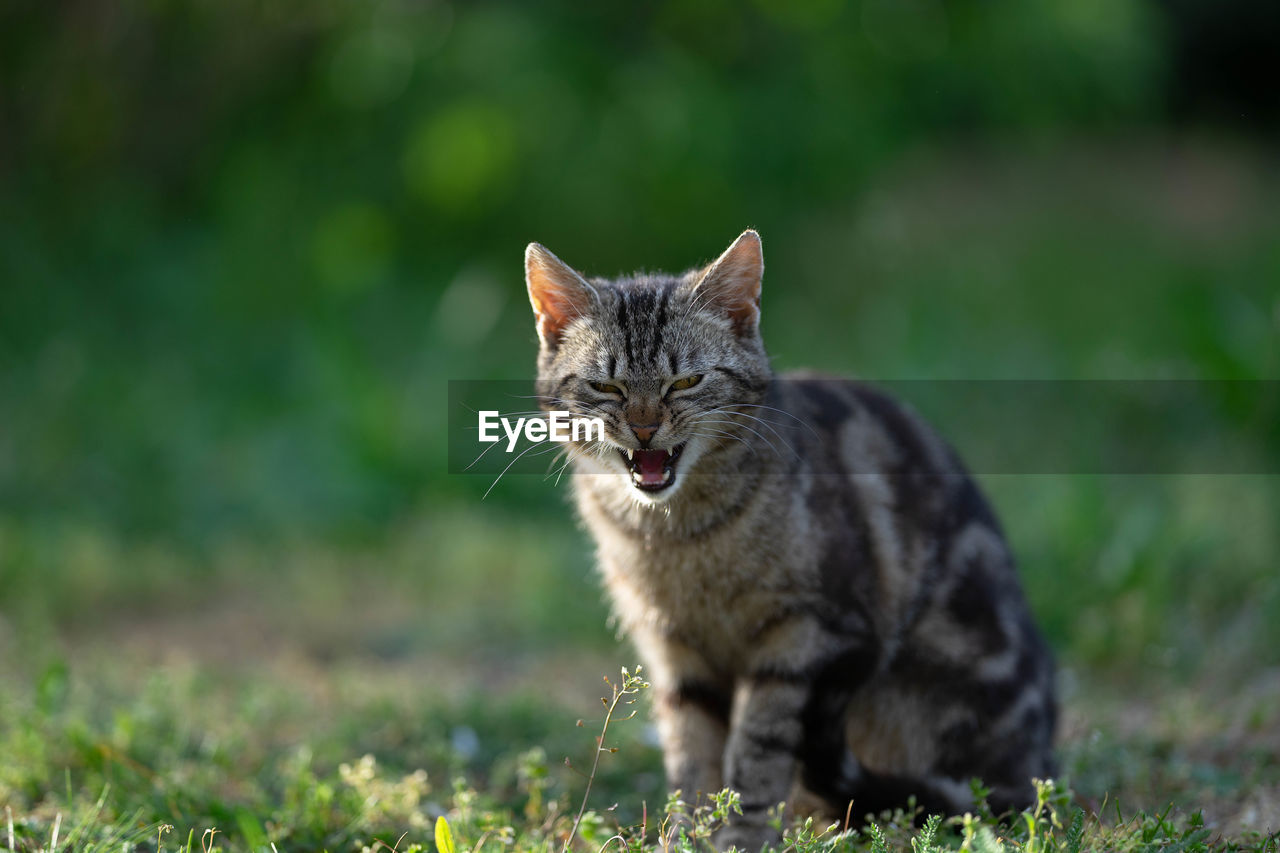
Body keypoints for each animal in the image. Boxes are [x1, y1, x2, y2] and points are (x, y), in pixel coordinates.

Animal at [524, 229, 1054, 845]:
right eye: (605, 386)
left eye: (686, 381)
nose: (645, 428)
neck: (678, 536)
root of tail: (1036, 767)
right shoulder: (675, 653)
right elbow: (691, 760)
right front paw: (686, 836)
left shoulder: (800, 638)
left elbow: (758, 749)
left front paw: (741, 838)